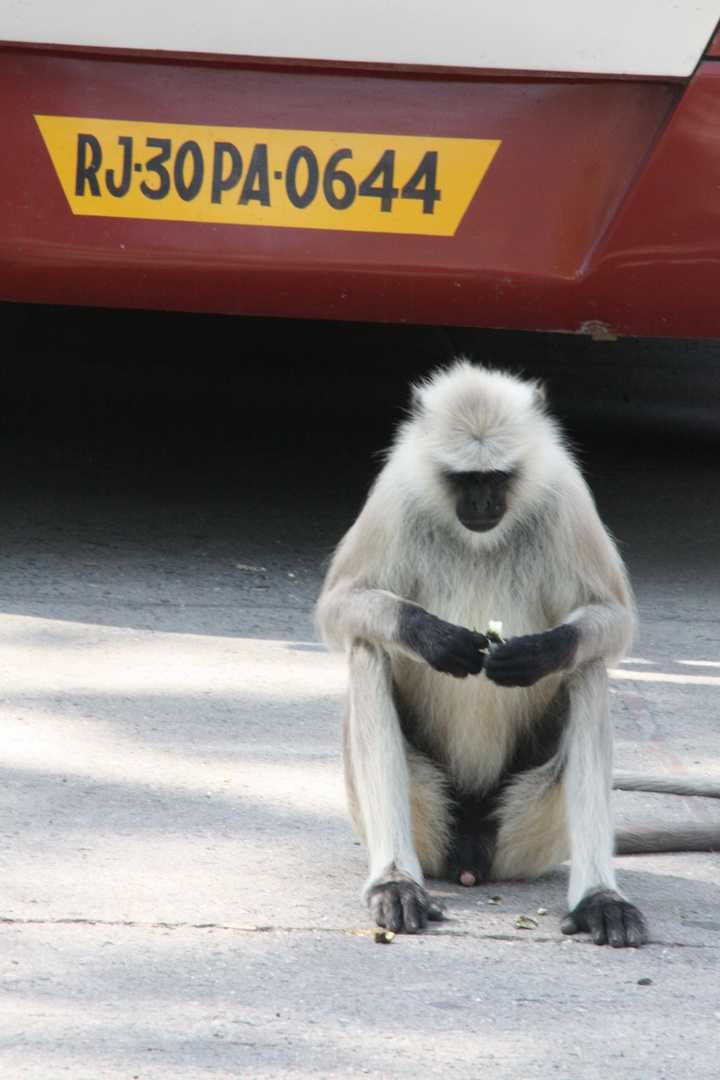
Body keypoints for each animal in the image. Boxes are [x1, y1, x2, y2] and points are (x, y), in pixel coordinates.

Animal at [317, 360, 720, 946]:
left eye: (499, 477)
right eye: (466, 479)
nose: (483, 505)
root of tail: (471, 856)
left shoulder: (566, 493)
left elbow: (613, 620)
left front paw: (537, 653)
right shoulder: (397, 493)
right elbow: (339, 606)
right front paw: (434, 638)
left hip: (531, 823)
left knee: (588, 667)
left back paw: (600, 897)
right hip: (424, 814)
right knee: (370, 650)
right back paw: (396, 881)